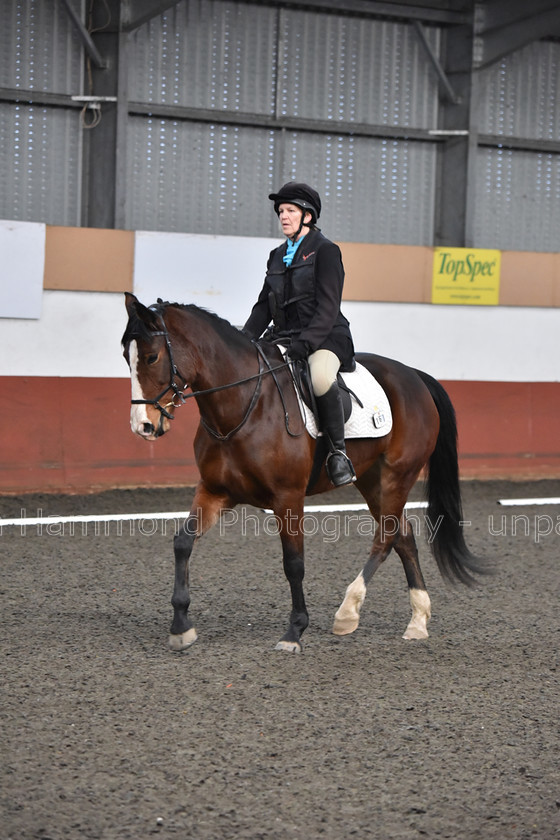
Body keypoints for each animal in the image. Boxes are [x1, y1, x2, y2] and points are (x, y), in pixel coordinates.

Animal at [122, 292, 486, 652]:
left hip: (398, 475)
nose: (143, 427)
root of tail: (413, 374)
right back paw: (417, 620)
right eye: (126, 356)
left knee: (386, 536)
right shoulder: (215, 491)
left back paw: (348, 612)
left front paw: (294, 631)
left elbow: (293, 563)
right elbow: (183, 543)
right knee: (402, 533)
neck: (242, 405)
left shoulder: (288, 497)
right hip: (372, 479)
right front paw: (181, 626)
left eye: (152, 357)